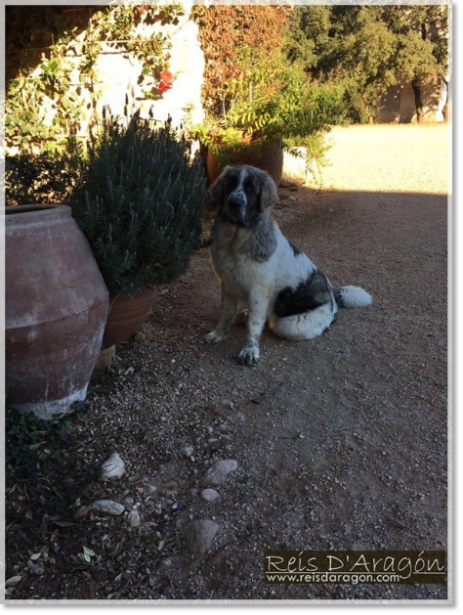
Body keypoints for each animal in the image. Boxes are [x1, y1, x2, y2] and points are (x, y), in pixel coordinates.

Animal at [207, 164, 374, 366]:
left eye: (250, 187)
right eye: (231, 183)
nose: (234, 203)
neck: (236, 238)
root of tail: (333, 300)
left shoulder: (258, 290)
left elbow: (254, 325)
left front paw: (249, 351)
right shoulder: (228, 284)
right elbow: (226, 313)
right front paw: (218, 334)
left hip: (288, 324)